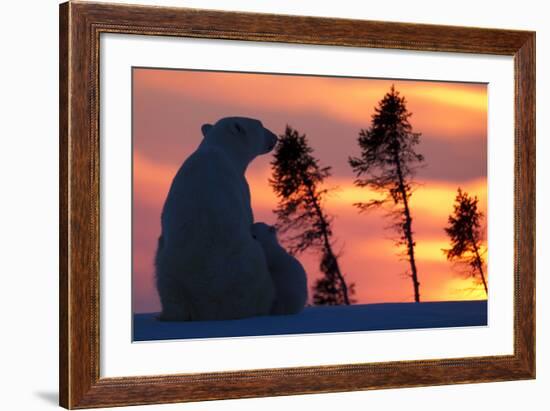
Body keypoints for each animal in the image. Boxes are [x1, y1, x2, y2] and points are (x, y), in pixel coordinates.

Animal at [154, 116, 278, 322]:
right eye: (260, 124)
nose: (275, 137)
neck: (218, 148)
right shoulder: (241, 187)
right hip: (247, 267)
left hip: (168, 272)